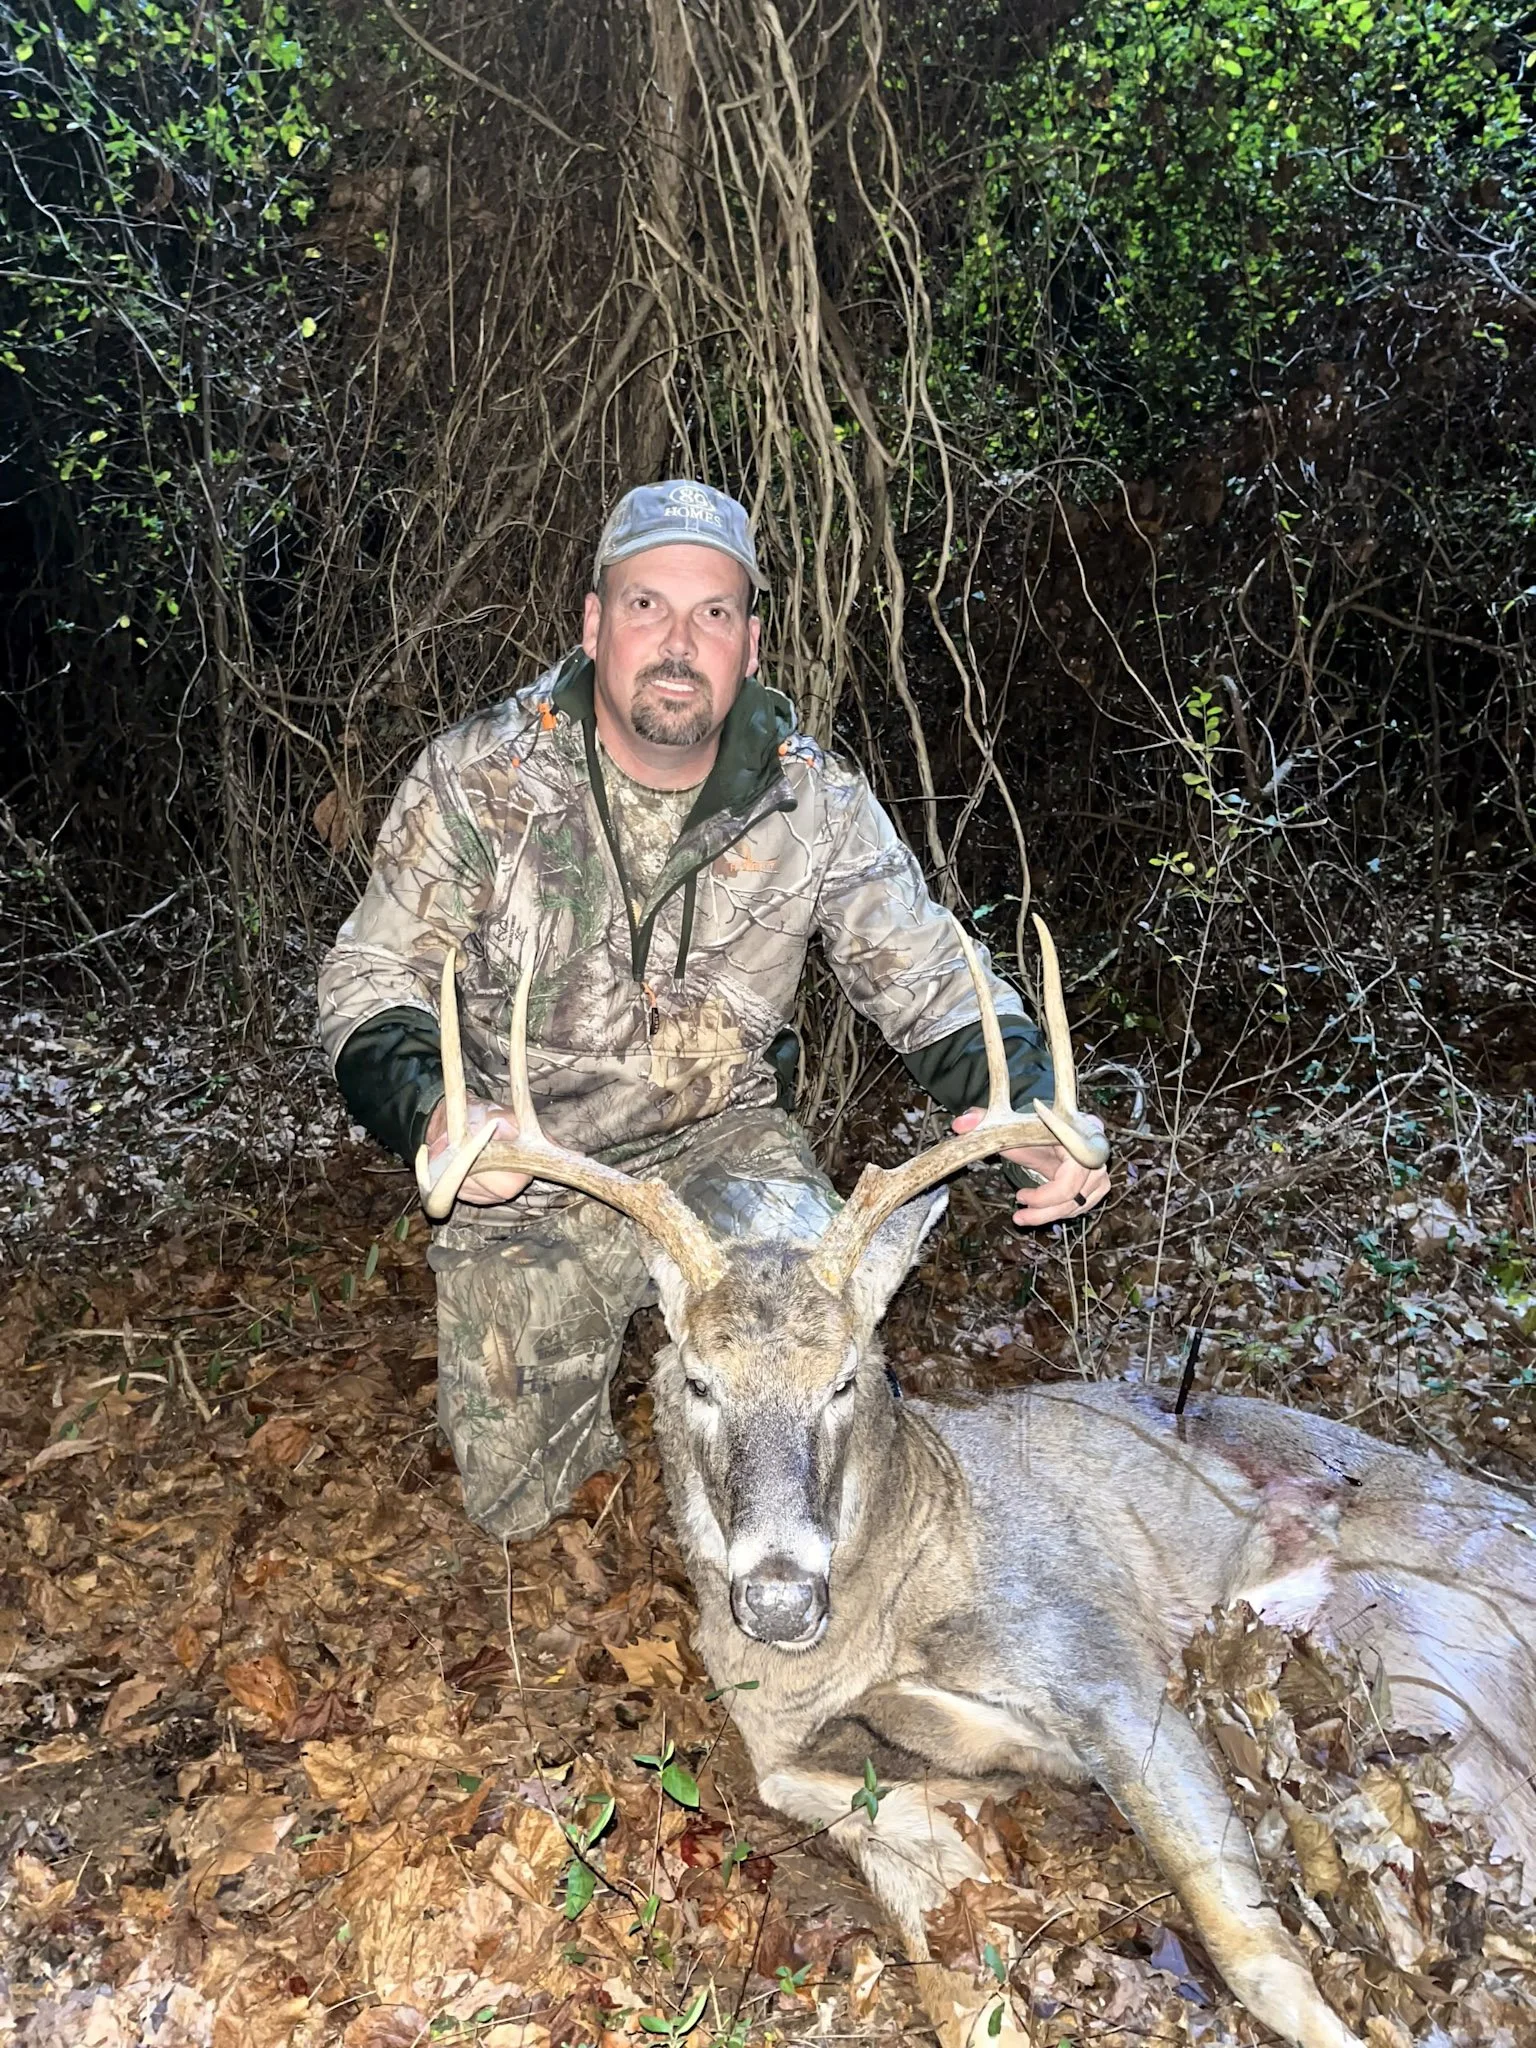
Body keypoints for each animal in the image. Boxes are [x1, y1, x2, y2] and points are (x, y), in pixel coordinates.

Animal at [417, 922, 1536, 2048]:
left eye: (849, 1376)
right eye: (696, 1378)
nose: (778, 1597)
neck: (883, 1614)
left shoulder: (1108, 1666)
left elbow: (1245, 1940)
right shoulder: (791, 1752)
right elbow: (939, 1946)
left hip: (1421, 1655)